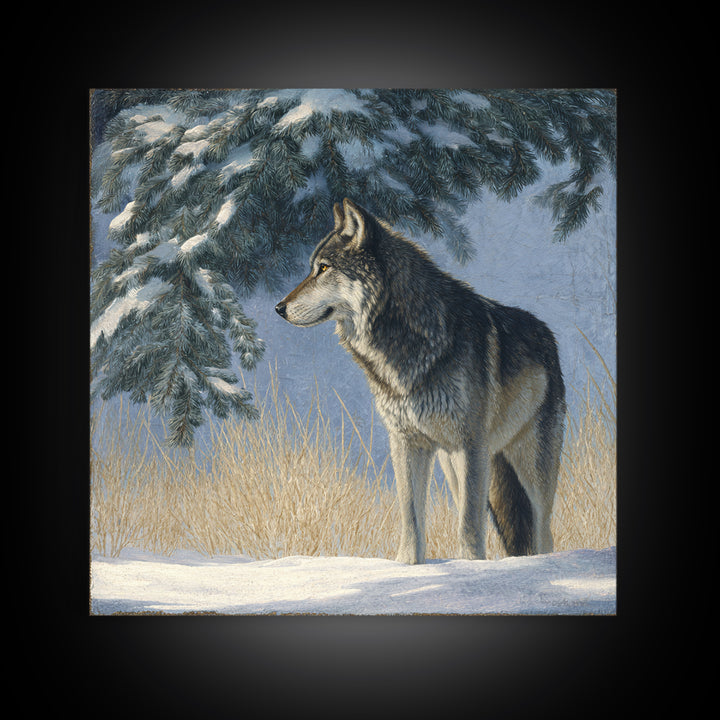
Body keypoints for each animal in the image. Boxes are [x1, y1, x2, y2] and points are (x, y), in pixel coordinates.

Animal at [276, 198, 566, 564]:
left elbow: (469, 524)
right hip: (455, 463)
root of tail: (546, 333)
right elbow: (412, 515)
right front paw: (409, 565)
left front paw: (471, 565)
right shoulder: (406, 442)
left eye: (324, 268)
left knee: (543, 529)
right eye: (314, 268)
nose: (279, 308)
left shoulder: (472, 444)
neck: (406, 341)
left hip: (530, 465)